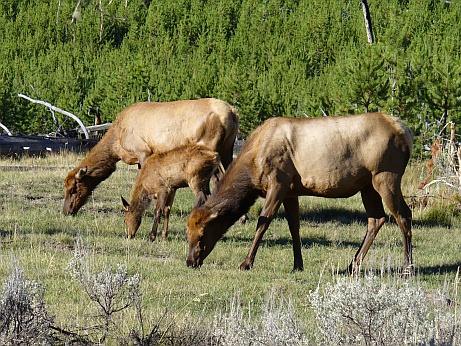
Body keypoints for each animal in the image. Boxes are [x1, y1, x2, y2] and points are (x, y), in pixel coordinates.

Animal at [62, 98, 237, 215]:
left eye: (73, 189)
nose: (66, 211)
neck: (116, 142)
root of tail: (232, 112)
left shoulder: (143, 151)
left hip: (210, 148)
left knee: (218, 178)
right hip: (227, 148)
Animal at [185, 112, 412, 274]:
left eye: (202, 234)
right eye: (188, 234)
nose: (190, 261)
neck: (252, 168)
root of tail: (406, 132)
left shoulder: (279, 182)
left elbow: (263, 221)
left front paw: (246, 263)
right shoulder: (291, 191)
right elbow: (294, 226)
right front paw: (297, 264)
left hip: (385, 175)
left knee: (403, 214)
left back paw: (407, 267)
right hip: (367, 184)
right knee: (376, 218)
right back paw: (352, 265)